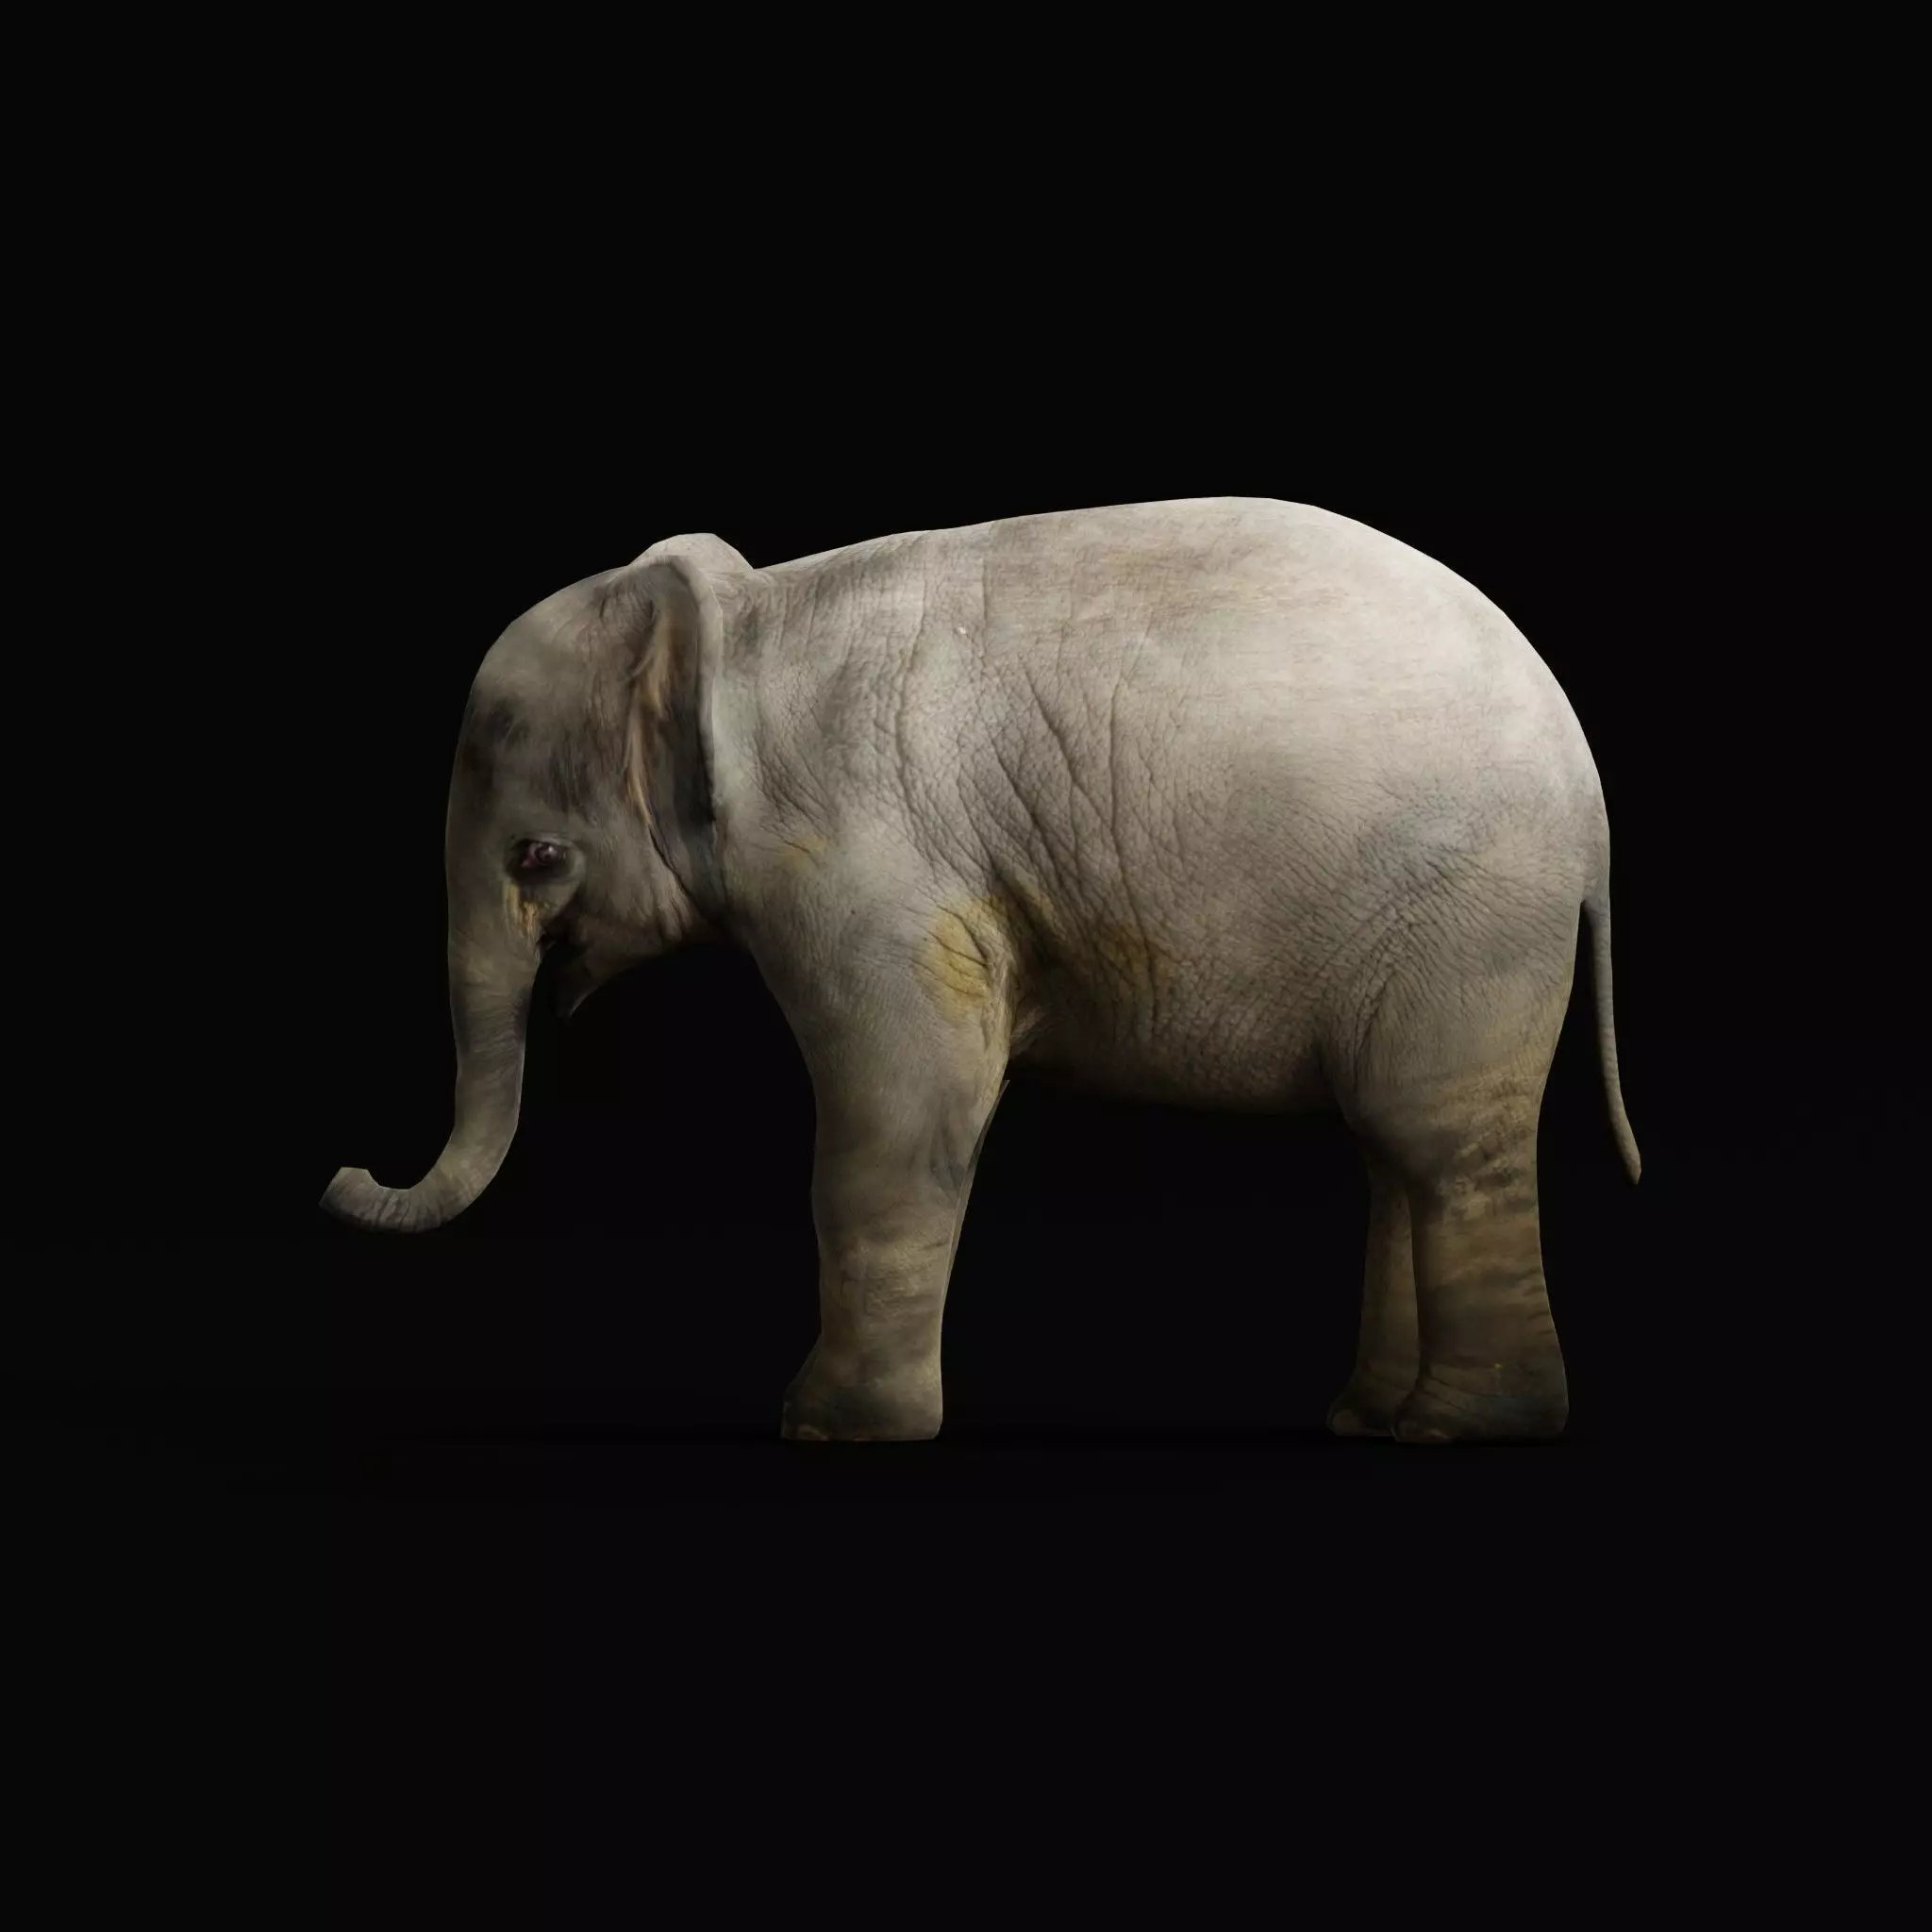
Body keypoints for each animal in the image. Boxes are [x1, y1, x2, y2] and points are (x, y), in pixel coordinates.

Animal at [322, 497, 1639, 1446]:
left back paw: (1457, 1428)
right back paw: (1369, 1417)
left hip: (1468, 912)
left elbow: (908, 1107)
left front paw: (827, 1430)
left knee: (1437, 1143)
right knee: (1394, 1151)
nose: (343, 1175)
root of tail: (1589, 812)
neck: (744, 614)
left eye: (536, 858)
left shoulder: (862, 858)